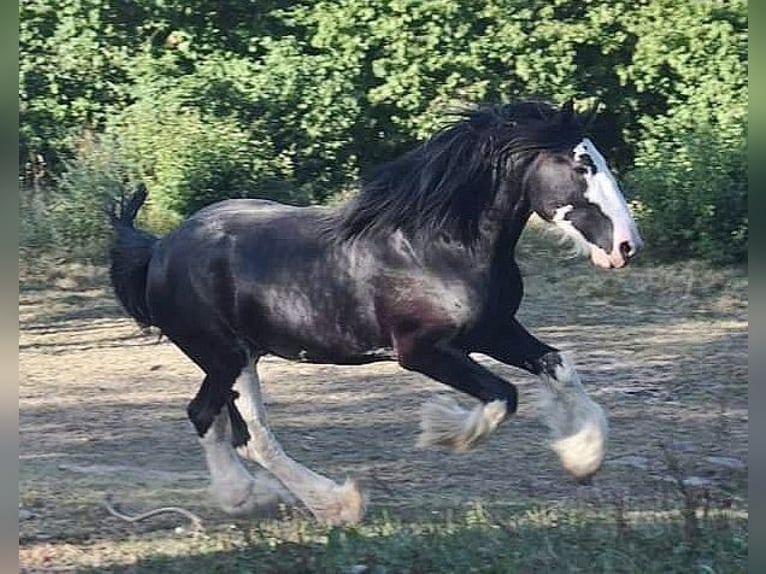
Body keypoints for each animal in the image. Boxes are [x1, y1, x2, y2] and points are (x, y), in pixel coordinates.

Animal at [109, 100, 640, 528]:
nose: (625, 247)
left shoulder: (494, 330)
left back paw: (246, 497)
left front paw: (582, 457)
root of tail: (159, 250)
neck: (438, 247)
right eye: (582, 165)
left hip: (231, 358)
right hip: (227, 356)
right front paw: (441, 429)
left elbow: (558, 366)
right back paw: (335, 504)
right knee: (252, 434)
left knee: (204, 414)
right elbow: (501, 397)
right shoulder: (422, 351)